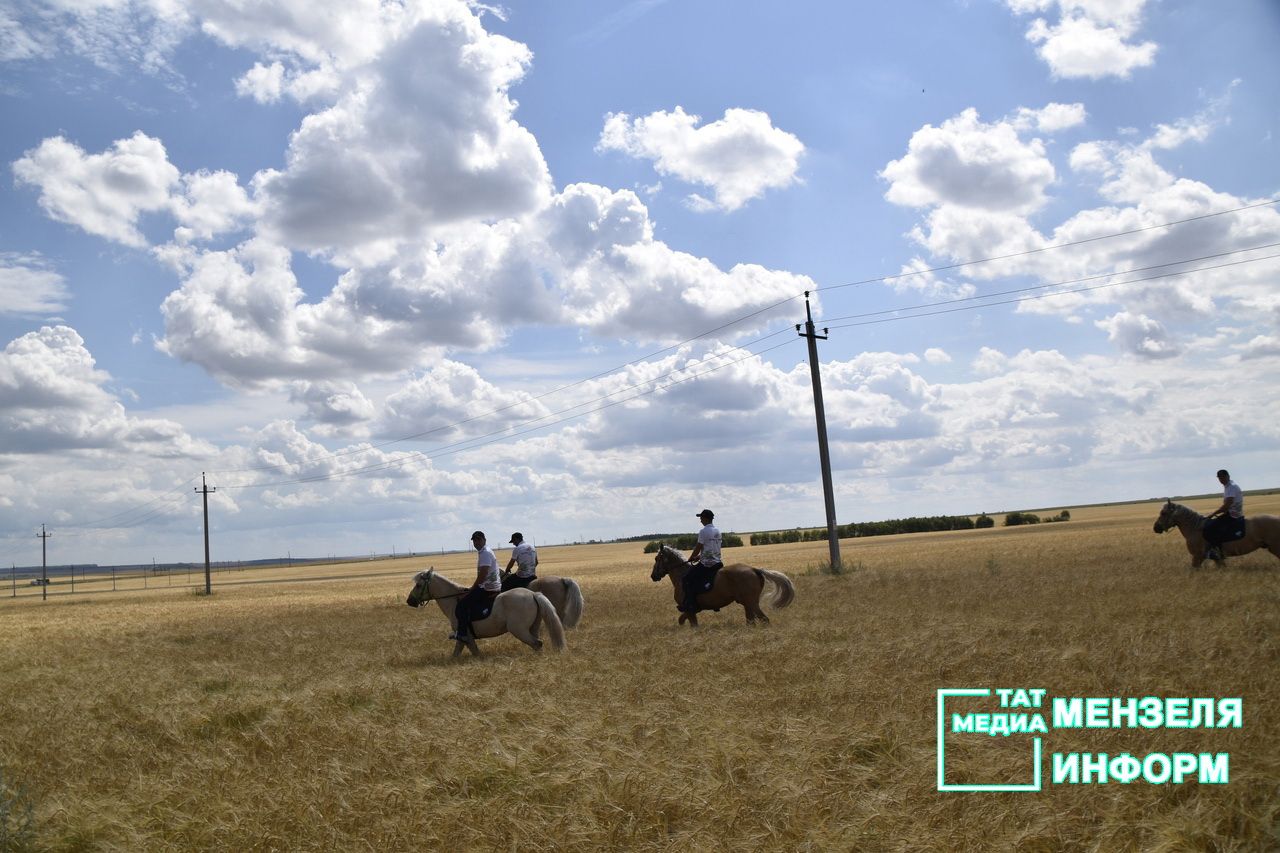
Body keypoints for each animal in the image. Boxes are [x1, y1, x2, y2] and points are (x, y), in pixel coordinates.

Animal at [404, 568, 565, 653]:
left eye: (418, 585)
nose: (409, 601)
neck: (454, 601)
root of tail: (532, 594)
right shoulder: (466, 638)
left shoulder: (464, 636)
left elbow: (464, 652)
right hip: (532, 627)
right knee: (537, 644)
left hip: (519, 630)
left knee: (537, 643)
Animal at [655, 545, 793, 625]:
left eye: (657, 559)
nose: (653, 576)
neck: (681, 576)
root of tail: (754, 569)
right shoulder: (690, 610)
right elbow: (682, 620)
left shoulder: (689, 609)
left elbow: (690, 623)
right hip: (748, 604)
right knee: (751, 621)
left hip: (751, 603)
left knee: (764, 619)